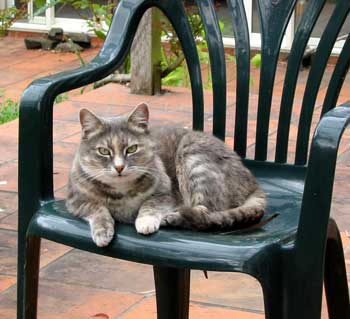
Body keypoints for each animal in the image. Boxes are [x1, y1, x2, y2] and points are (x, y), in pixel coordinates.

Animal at [66, 105, 266, 248]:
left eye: (132, 149)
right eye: (103, 151)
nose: (119, 167)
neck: (122, 191)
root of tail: (253, 183)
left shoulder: (166, 193)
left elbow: (150, 204)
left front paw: (145, 221)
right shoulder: (76, 200)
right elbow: (97, 209)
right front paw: (102, 232)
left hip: (193, 157)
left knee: (207, 212)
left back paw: (173, 217)